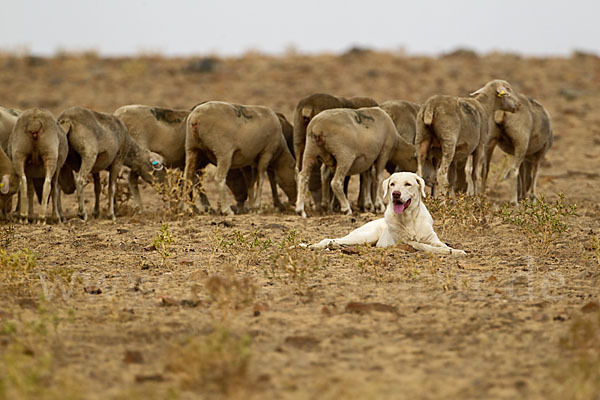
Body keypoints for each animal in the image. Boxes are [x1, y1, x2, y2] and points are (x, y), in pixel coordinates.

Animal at [310, 172, 468, 256]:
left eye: (408, 184)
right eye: (392, 184)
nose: (395, 194)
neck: (410, 218)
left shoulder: (432, 238)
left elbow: (442, 245)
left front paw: (455, 251)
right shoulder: (407, 242)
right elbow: (425, 246)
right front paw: (446, 252)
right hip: (365, 236)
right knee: (330, 239)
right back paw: (318, 246)